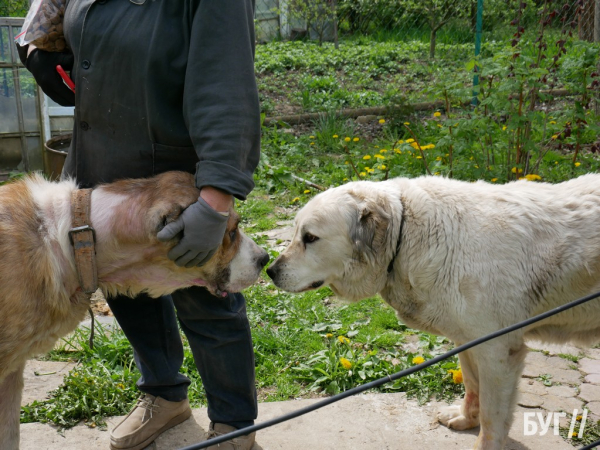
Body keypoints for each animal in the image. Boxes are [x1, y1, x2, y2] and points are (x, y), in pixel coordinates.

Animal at [268, 175, 600, 450]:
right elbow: (472, 386)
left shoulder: (498, 350)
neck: (407, 235)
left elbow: (493, 415)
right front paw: (466, 419)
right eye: (296, 232)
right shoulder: (469, 341)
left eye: (310, 238)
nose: (270, 271)